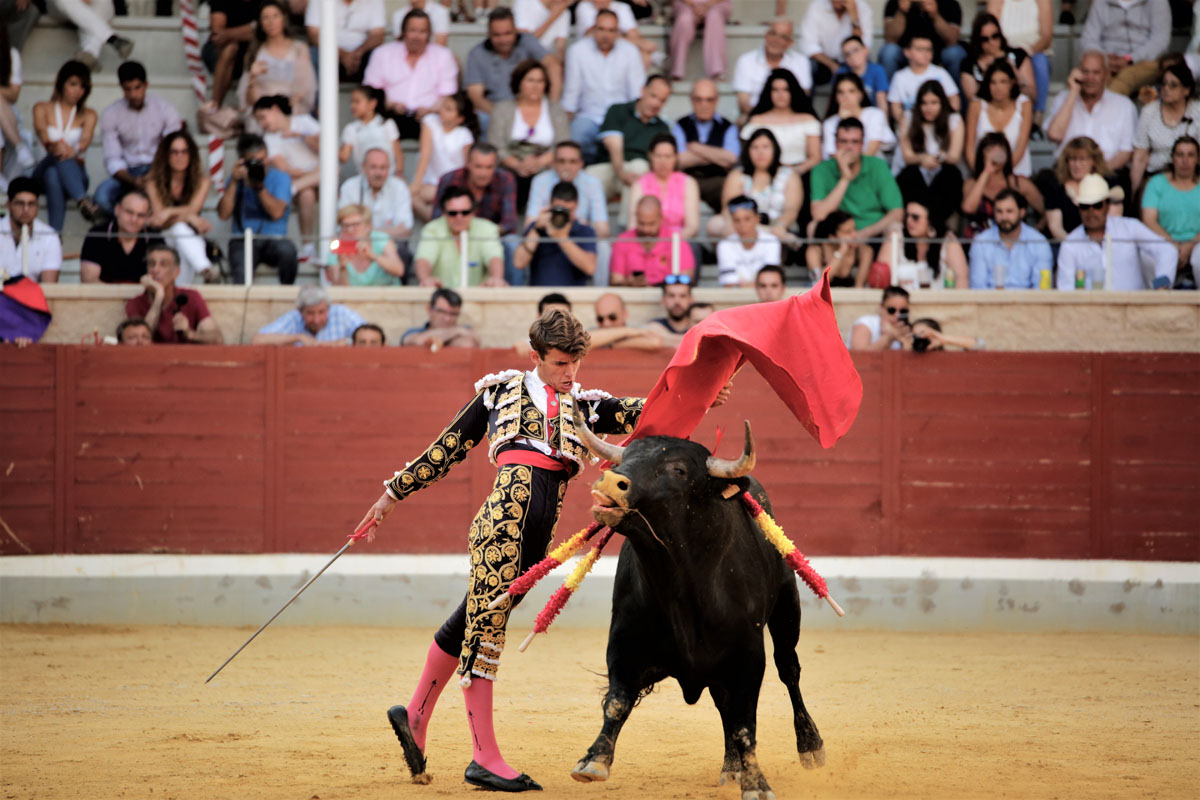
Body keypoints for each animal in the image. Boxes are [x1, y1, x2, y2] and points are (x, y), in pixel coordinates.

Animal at [571, 417, 825, 796]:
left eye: (678, 469)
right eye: (624, 458)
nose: (610, 482)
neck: (679, 583)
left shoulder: (749, 658)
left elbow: (746, 723)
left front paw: (756, 783)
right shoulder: (623, 644)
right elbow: (617, 702)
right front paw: (594, 760)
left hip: (786, 608)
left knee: (789, 670)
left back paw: (810, 745)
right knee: (724, 704)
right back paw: (731, 767)